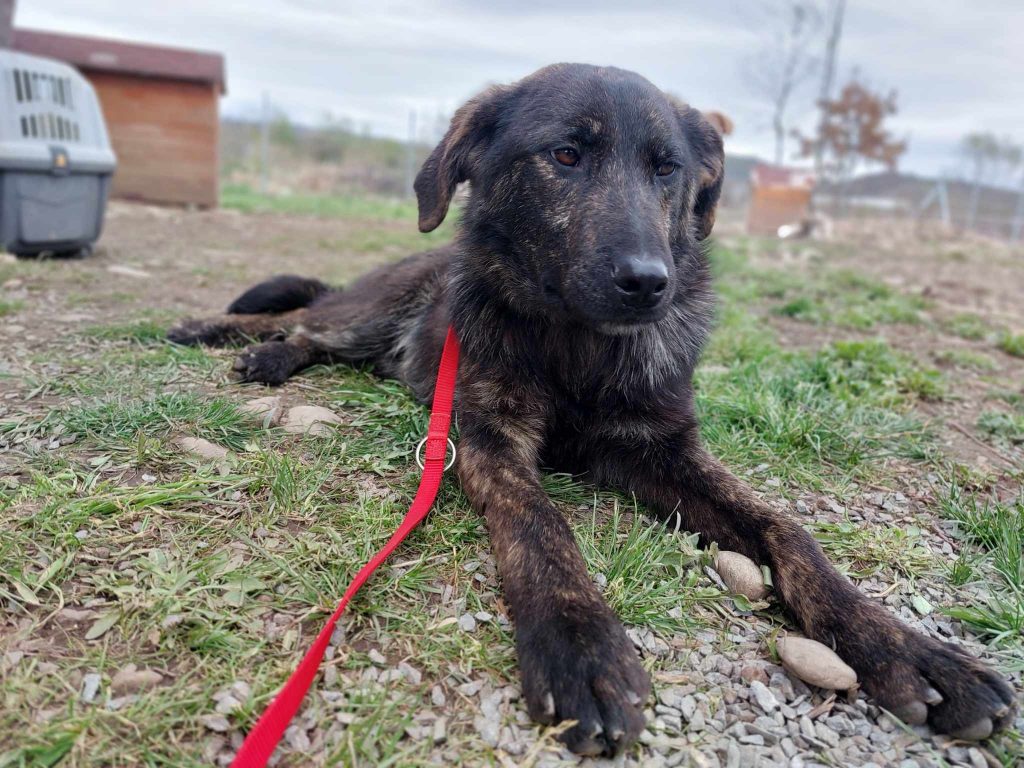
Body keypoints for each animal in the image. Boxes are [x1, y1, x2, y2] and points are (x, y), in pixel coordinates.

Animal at [170, 63, 1015, 757]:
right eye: (566, 156)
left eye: (667, 168)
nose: (649, 282)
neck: (578, 349)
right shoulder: (487, 437)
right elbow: (541, 524)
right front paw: (581, 645)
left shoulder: (661, 448)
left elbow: (787, 530)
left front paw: (901, 646)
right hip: (369, 315)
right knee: (303, 319)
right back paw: (232, 338)